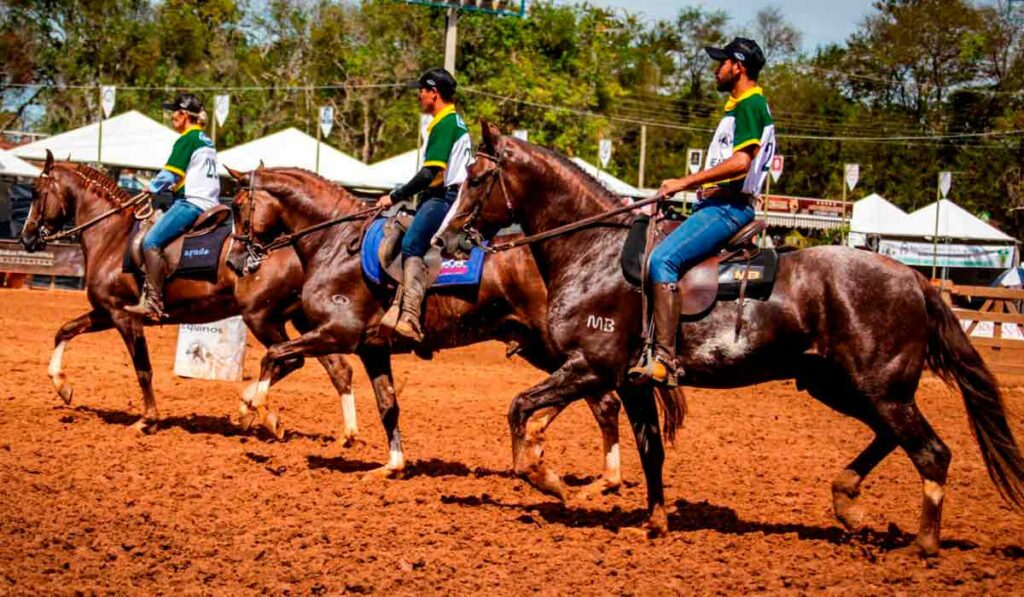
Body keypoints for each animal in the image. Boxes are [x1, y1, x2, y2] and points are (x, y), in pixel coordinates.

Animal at [17, 152, 364, 444]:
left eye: (35, 191)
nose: (27, 237)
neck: (113, 236)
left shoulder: (124, 317)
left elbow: (143, 369)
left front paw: (147, 420)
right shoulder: (104, 312)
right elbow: (64, 330)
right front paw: (62, 386)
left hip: (261, 318)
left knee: (288, 359)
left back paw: (255, 410)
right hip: (303, 321)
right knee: (337, 368)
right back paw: (342, 432)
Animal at [221, 164, 626, 491]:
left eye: (238, 207)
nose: (234, 261)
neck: (335, 244)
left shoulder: (336, 333)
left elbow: (276, 355)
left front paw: (261, 412)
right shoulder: (372, 348)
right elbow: (388, 405)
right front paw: (392, 465)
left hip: (559, 347)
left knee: (596, 396)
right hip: (537, 346)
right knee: (600, 400)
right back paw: (584, 466)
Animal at [436, 122, 1024, 561]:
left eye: (478, 177)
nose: (445, 238)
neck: (594, 251)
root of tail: (916, 279)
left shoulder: (590, 367)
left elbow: (519, 409)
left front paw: (549, 480)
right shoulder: (630, 383)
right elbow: (650, 450)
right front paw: (655, 522)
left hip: (880, 388)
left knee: (931, 451)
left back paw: (922, 544)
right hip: (842, 385)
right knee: (892, 438)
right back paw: (848, 501)